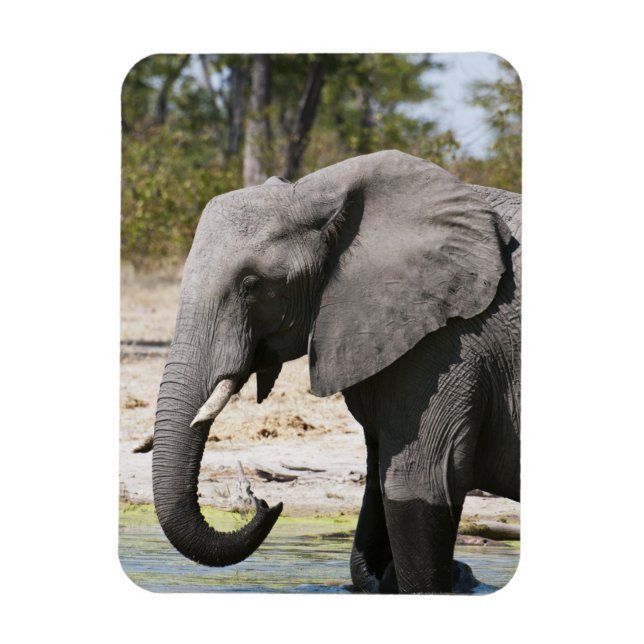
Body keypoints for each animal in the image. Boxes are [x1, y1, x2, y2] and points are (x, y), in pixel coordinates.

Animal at [152, 149, 521, 593]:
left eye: (251, 286)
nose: (265, 502)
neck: (318, 193)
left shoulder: (451, 343)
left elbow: (418, 485)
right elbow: (379, 484)